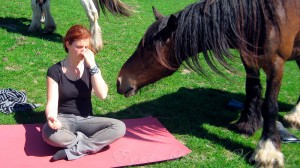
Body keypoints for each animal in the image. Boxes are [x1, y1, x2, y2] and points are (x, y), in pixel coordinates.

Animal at [117, 0, 300, 167]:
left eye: (148, 49)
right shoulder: (248, 59)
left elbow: (270, 106)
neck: (259, 17)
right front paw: (247, 124)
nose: (119, 81)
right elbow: (253, 89)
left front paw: (268, 150)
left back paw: (294, 117)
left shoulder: (276, 64)